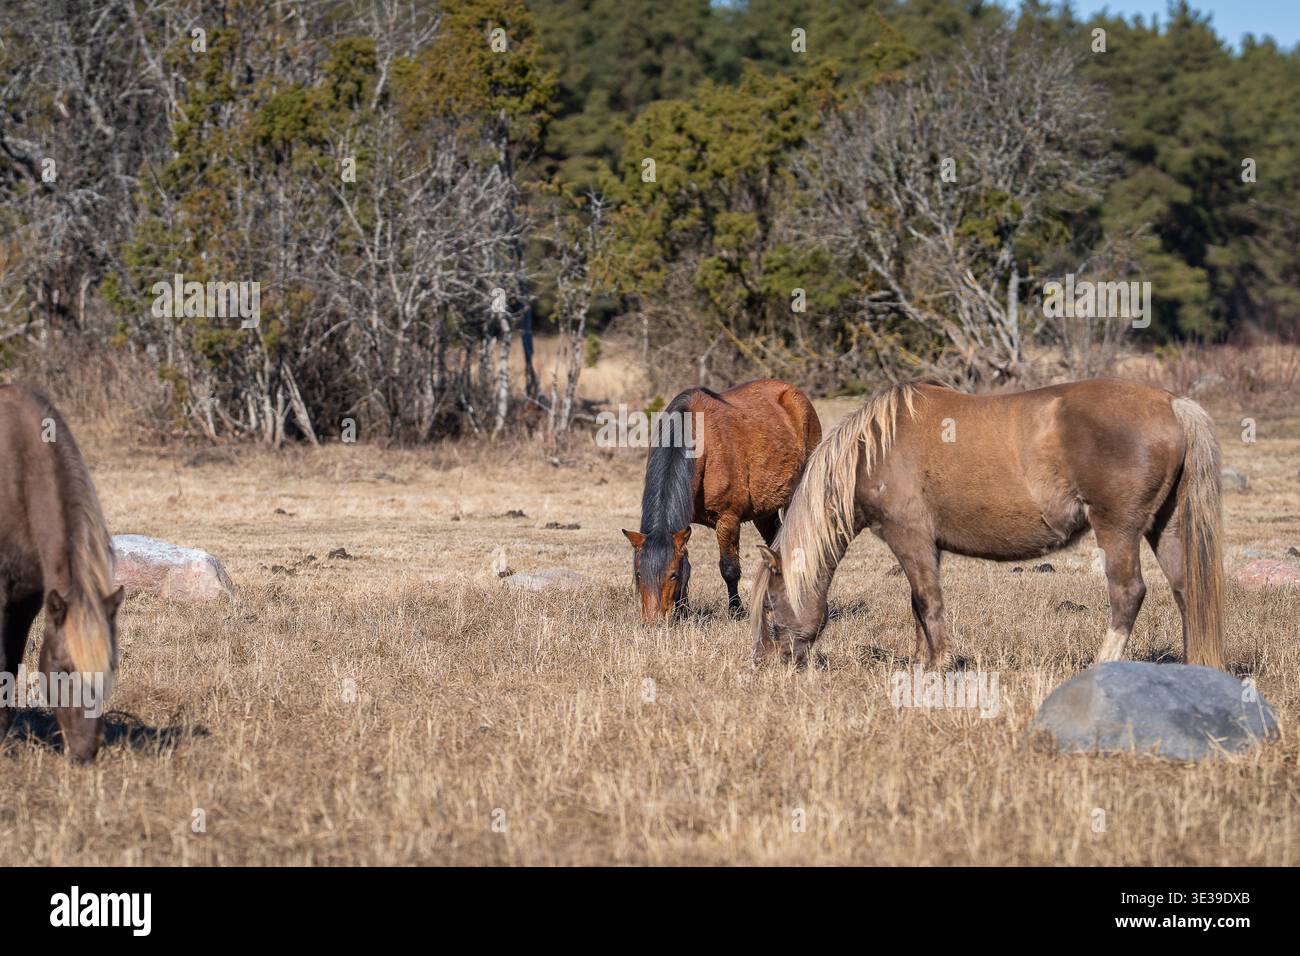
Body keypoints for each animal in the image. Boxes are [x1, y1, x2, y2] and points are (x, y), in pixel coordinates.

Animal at [622, 379, 821, 622]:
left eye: (672, 575)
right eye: (639, 574)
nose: (655, 621)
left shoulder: (728, 519)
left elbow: (729, 568)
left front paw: (736, 610)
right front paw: (684, 611)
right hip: (766, 512)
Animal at [751, 379, 1225, 670]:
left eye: (770, 606)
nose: (764, 663)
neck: (873, 451)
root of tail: (1172, 404)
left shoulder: (909, 537)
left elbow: (928, 601)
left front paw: (940, 664)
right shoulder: (927, 545)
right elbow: (918, 603)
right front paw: (924, 661)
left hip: (1118, 531)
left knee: (1128, 593)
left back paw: (1102, 664)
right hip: (1166, 527)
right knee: (1186, 589)